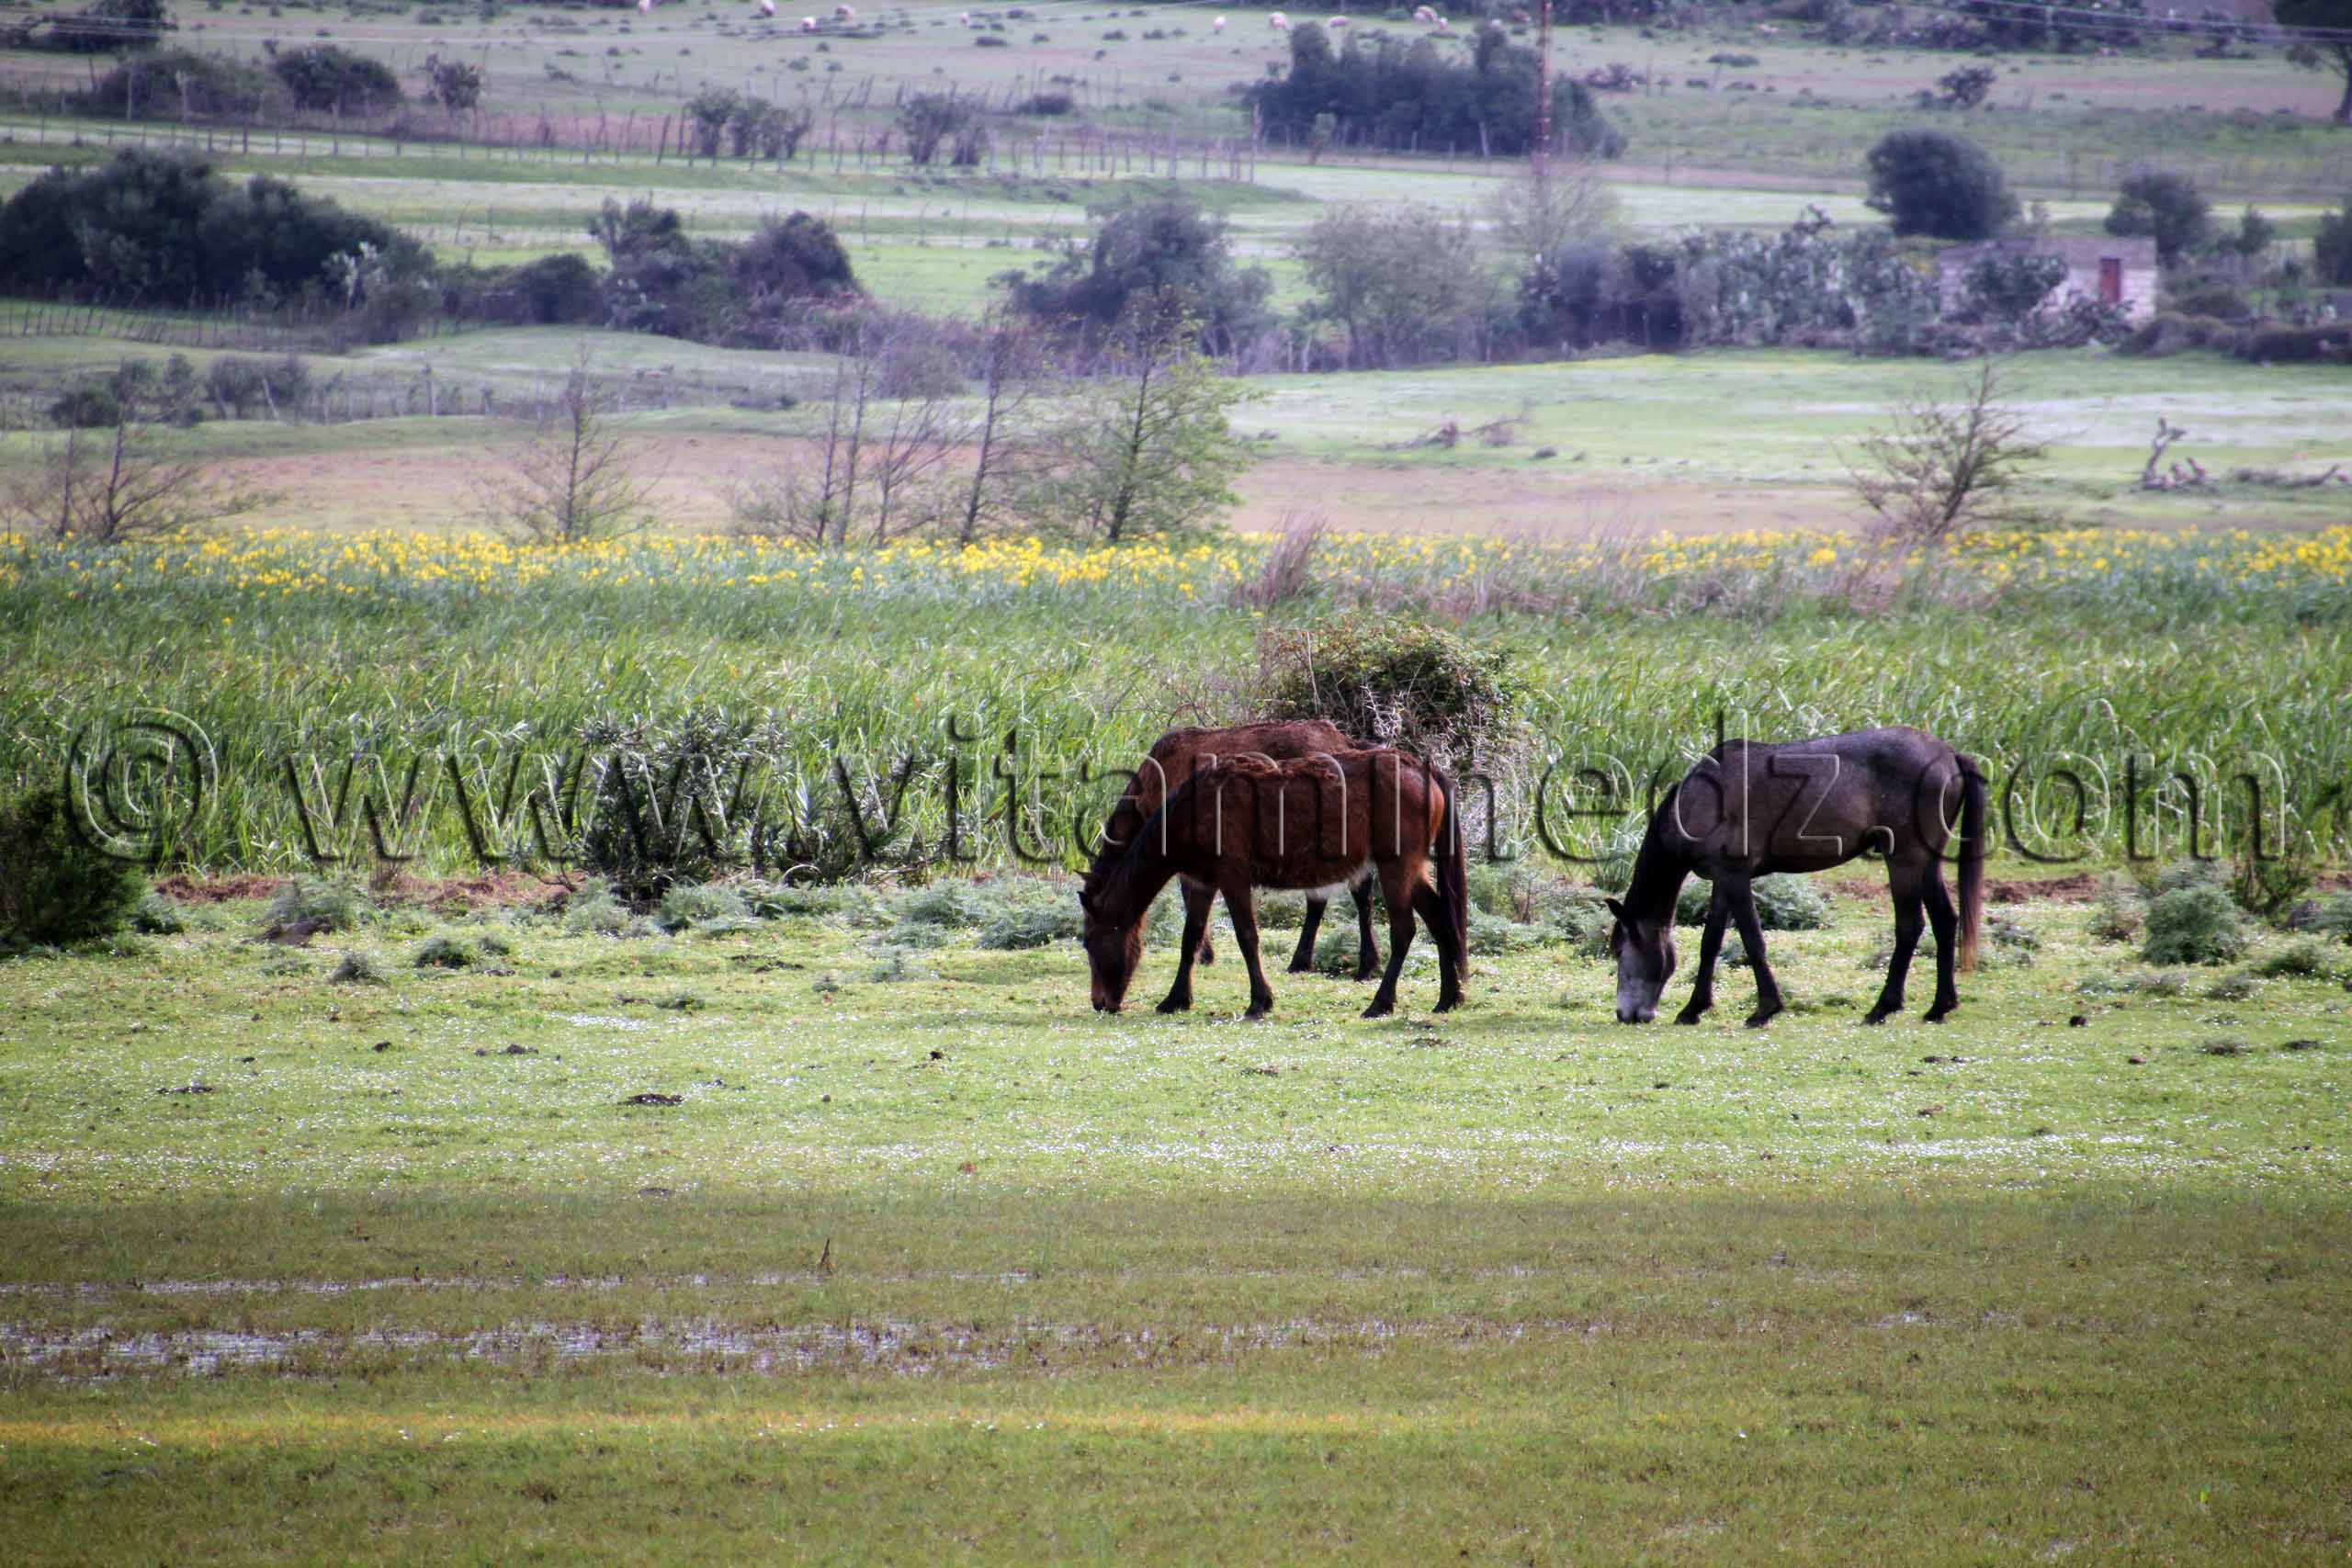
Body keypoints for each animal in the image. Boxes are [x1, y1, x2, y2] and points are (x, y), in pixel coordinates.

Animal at [1080, 749, 1468, 1021]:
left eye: (1088, 942)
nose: (1100, 1002)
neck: (1196, 807)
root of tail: (1422, 770)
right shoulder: (1203, 883)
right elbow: (1191, 940)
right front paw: (1175, 999)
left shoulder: (1233, 879)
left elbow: (1247, 937)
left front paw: (1259, 1001)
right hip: (1412, 873)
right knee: (1439, 919)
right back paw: (1448, 997)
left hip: (1396, 869)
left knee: (1404, 931)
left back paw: (1381, 1003)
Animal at [1085, 721, 1382, 982]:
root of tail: (1346, 741)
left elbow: (1189, 897)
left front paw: (1205, 953)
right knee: (1358, 891)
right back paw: (1361, 964)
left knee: (1330, 896)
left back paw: (1308, 960)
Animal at [1606, 727, 1985, 1029]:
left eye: (1620, 951)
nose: (1625, 1015)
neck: (1698, 799)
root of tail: (1948, 754)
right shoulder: (1721, 880)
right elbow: (1710, 942)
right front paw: (1693, 1009)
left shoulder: (1735, 876)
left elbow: (1752, 940)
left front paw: (1765, 1009)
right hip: (1927, 862)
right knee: (1944, 921)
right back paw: (1939, 1006)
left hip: (1904, 859)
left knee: (1909, 926)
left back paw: (1882, 1007)